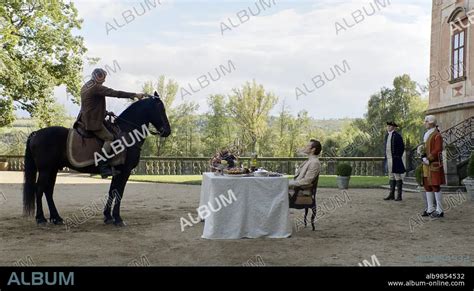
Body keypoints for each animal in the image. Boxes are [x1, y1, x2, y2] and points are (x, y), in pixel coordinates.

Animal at [22, 94, 170, 227]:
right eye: (161, 109)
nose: (167, 131)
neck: (127, 133)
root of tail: (36, 133)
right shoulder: (125, 171)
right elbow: (119, 192)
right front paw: (117, 218)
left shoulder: (117, 172)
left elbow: (112, 191)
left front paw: (108, 216)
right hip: (45, 170)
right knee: (39, 189)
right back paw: (41, 218)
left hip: (52, 170)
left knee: (48, 191)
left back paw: (56, 218)